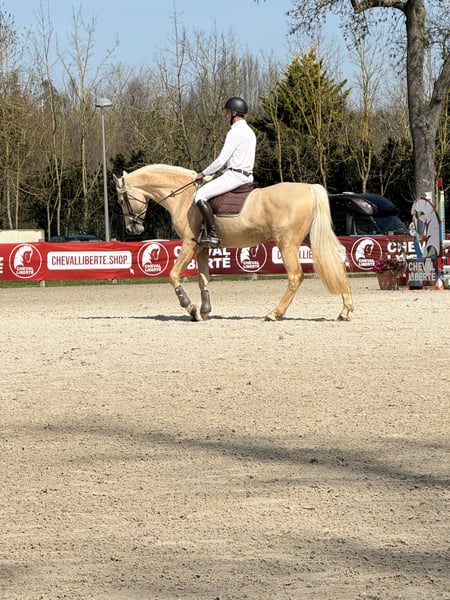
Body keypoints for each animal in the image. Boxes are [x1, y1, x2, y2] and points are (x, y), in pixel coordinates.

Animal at [113, 164, 354, 322]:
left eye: (121, 200)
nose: (133, 229)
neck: (185, 196)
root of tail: (308, 188)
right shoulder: (202, 248)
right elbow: (203, 279)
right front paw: (205, 310)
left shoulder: (189, 244)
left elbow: (173, 275)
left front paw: (191, 308)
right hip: (308, 239)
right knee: (336, 262)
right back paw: (345, 310)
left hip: (287, 244)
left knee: (295, 276)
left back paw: (274, 313)